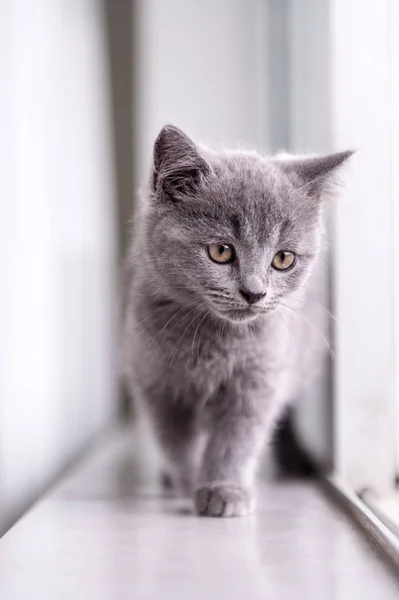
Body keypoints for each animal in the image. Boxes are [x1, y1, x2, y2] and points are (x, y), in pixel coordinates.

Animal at [122, 125, 354, 516]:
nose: (254, 292)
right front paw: (190, 482)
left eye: (284, 259)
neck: (214, 337)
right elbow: (175, 441)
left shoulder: (259, 377)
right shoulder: (157, 381)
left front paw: (223, 488)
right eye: (221, 251)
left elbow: (237, 437)